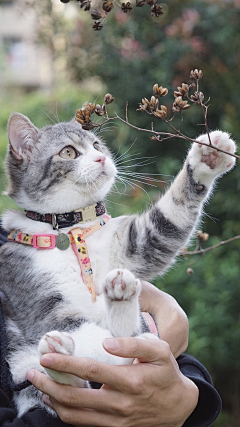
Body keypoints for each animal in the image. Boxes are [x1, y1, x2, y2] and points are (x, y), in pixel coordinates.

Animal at [0, 112, 236, 416]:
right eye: (68, 152)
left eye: (97, 146)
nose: (101, 159)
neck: (72, 230)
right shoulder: (32, 295)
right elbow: (94, 340)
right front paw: (131, 357)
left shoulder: (136, 247)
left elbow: (167, 223)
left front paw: (207, 159)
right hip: (20, 358)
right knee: (55, 393)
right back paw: (59, 356)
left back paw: (120, 296)